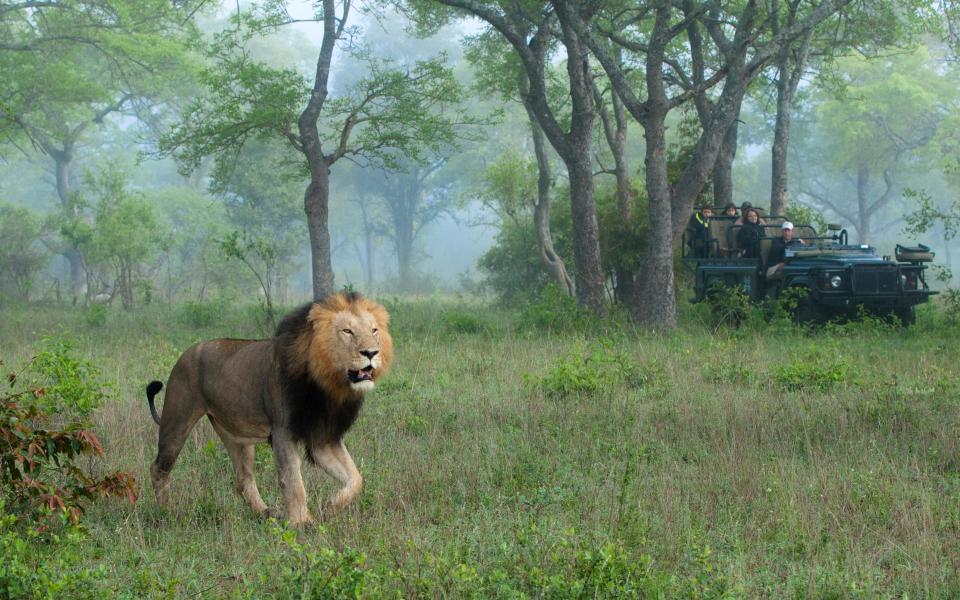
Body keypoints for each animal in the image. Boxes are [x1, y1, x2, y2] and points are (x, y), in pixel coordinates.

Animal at [145, 292, 390, 528]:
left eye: (374, 330)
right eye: (347, 331)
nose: (372, 353)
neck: (328, 385)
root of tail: (186, 353)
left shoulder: (323, 438)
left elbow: (355, 479)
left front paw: (327, 509)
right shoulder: (283, 432)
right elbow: (293, 480)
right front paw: (302, 524)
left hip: (237, 436)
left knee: (243, 479)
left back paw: (267, 514)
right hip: (177, 421)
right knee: (158, 469)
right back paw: (169, 513)